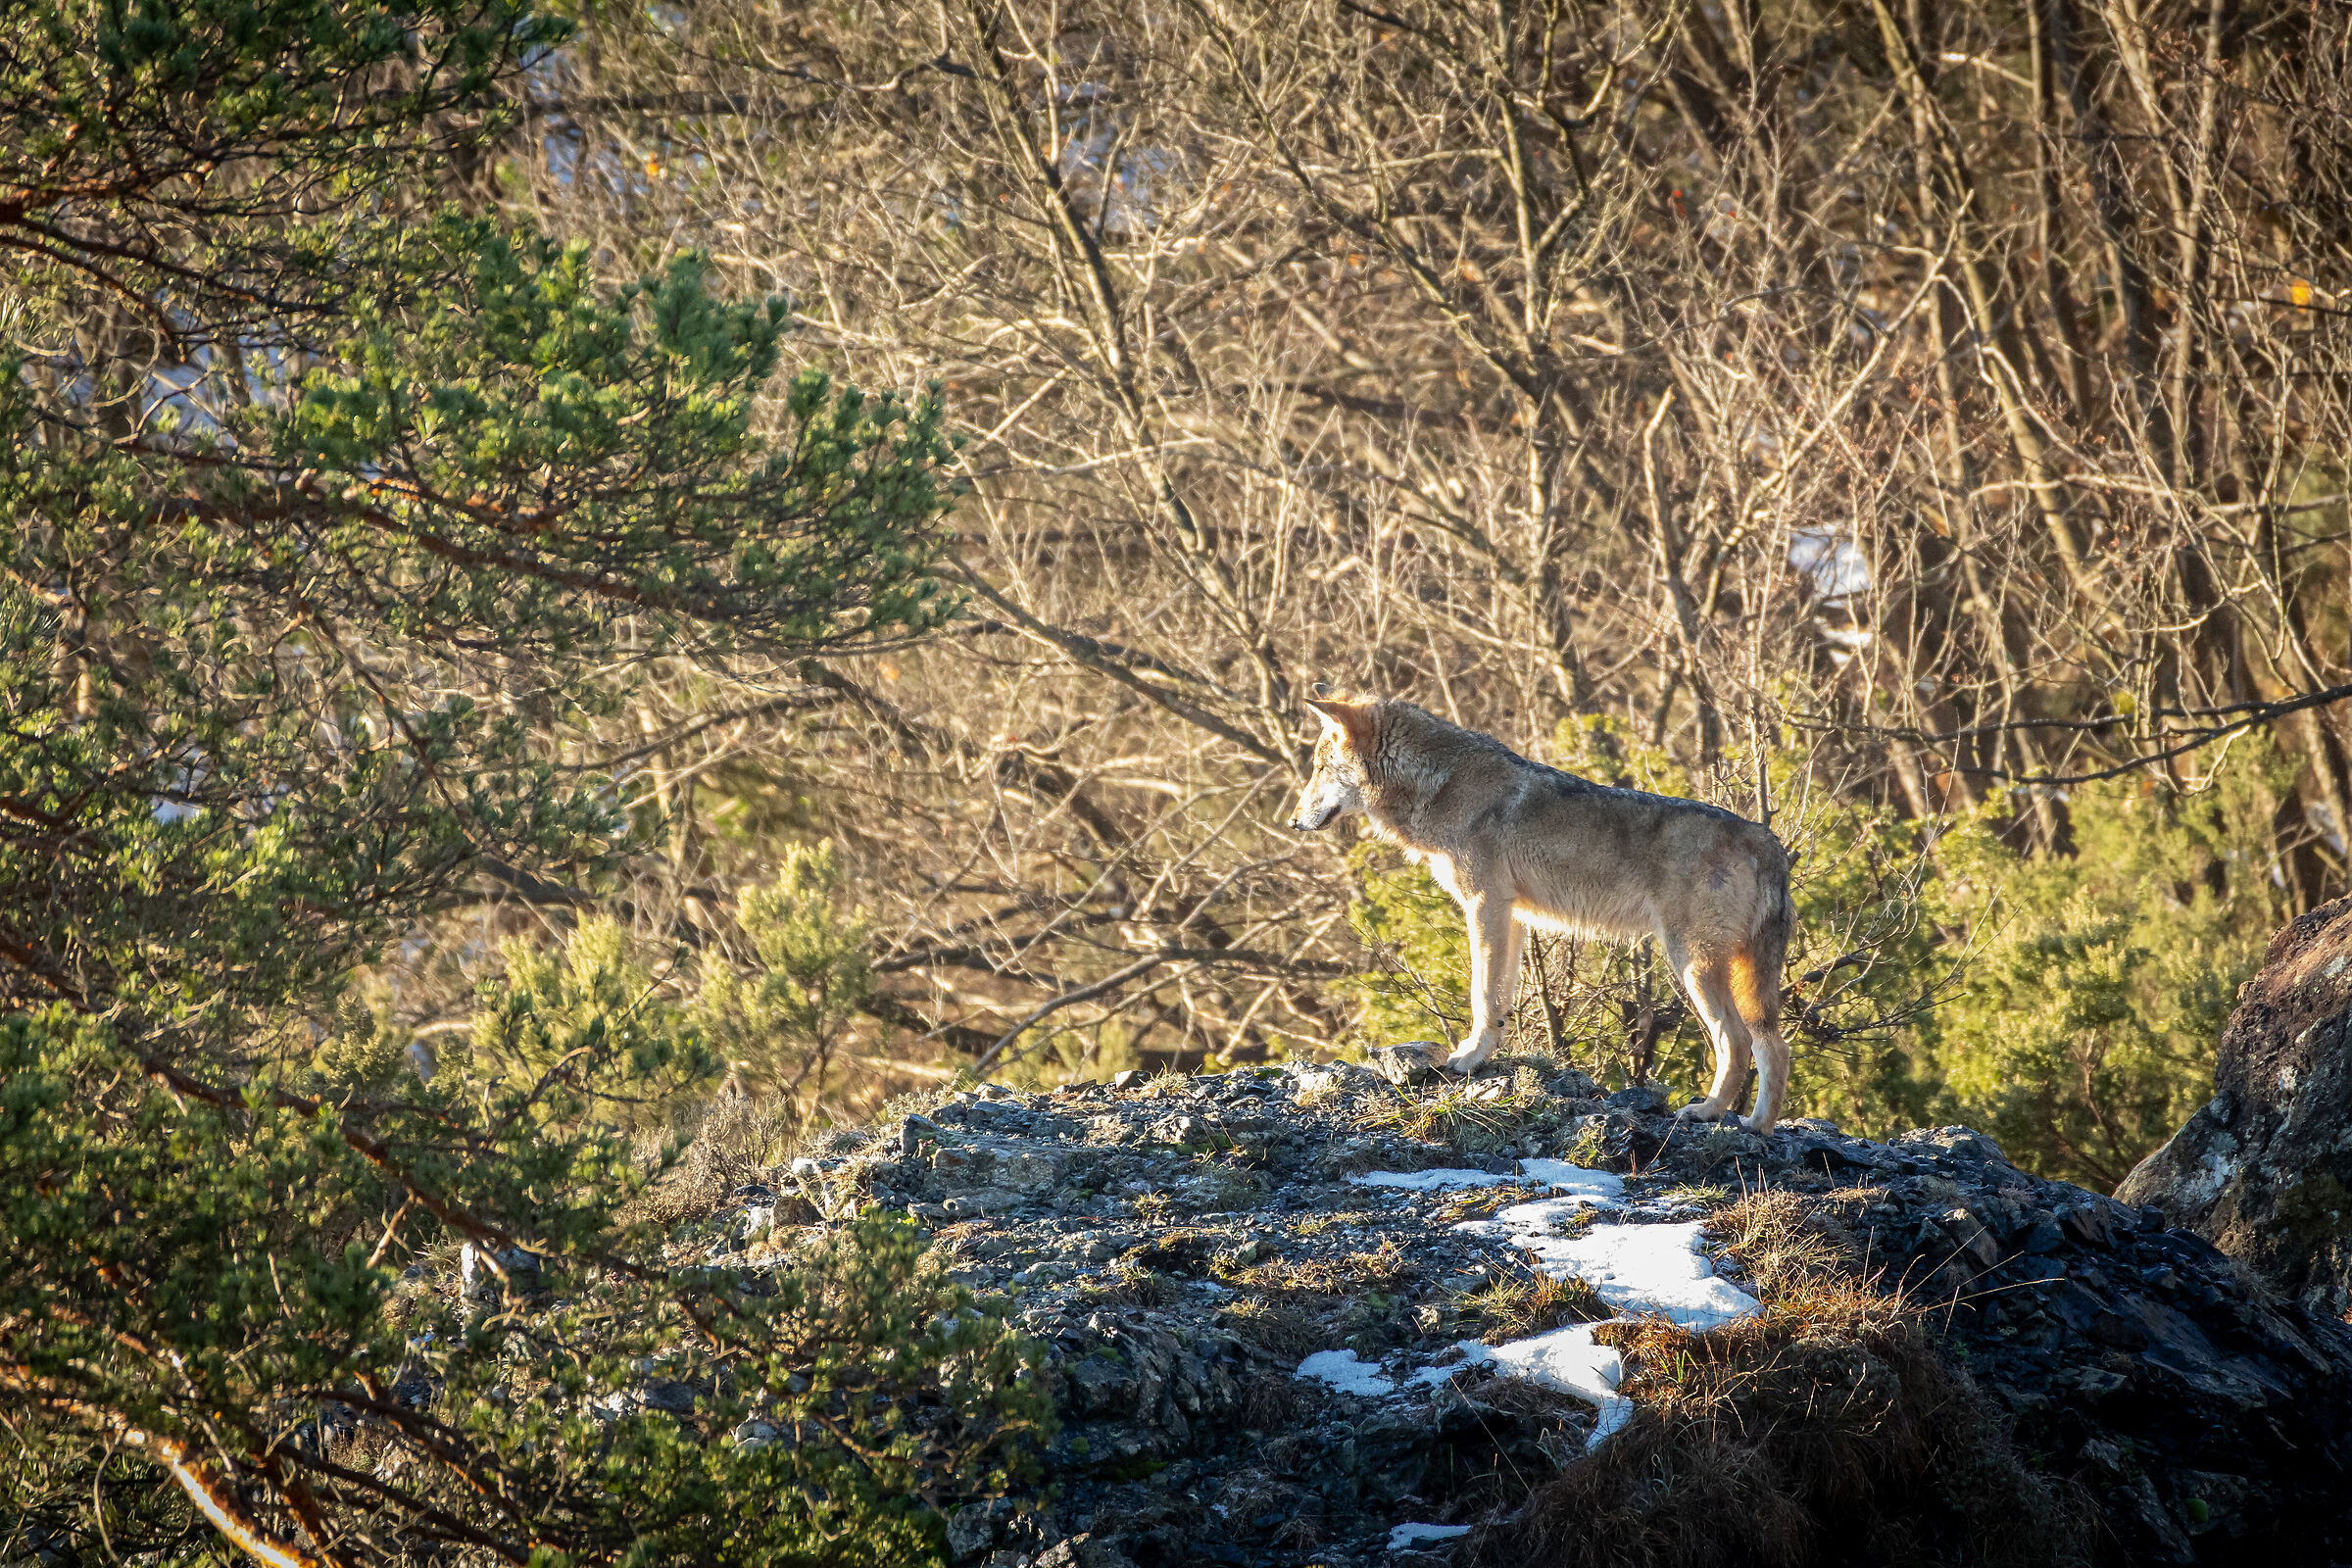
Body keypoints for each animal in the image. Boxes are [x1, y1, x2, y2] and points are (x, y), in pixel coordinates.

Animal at [1288, 695, 1796, 1133]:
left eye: (1317, 769)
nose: (1292, 821)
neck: (1442, 784)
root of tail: (1765, 839)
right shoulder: (1511, 916)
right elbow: (1499, 1000)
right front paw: (1484, 1052)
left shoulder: (1484, 905)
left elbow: (1481, 994)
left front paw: (1468, 1058)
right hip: (1740, 975)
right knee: (1775, 1044)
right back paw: (1758, 1126)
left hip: (1692, 965)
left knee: (1737, 1039)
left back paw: (1708, 1111)